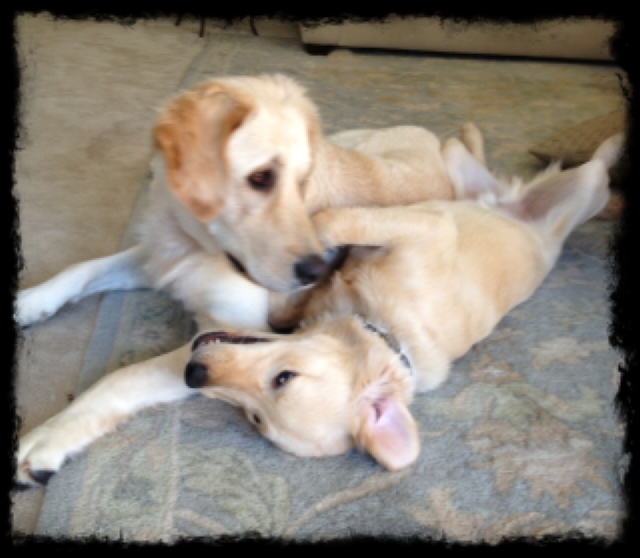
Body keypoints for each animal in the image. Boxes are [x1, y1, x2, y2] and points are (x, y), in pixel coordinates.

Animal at [15, 74, 459, 488]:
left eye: (303, 181)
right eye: (261, 177)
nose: (319, 271)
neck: (195, 240)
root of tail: (432, 139)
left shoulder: (219, 331)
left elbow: (120, 378)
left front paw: (47, 439)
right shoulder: (161, 256)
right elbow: (80, 269)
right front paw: (28, 302)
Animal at [183, 130, 623, 471]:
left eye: (283, 379)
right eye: (255, 417)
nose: (193, 373)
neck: (384, 328)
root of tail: (519, 209)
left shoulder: (427, 229)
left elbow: (329, 222)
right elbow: (285, 299)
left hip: (586, 187)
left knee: (599, 164)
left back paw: (613, 144)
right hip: (460, 170)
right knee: (463, 152)